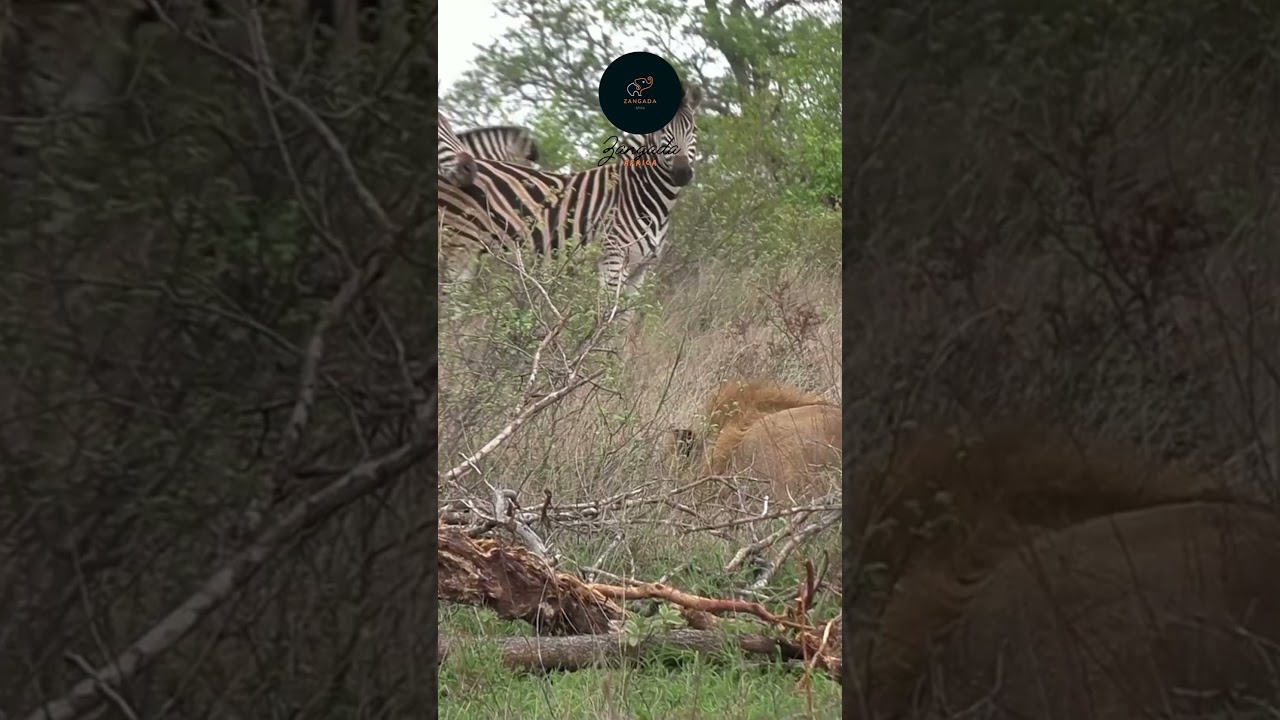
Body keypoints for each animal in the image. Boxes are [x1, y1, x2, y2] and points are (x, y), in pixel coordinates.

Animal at [438, 84, 703, 303]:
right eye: (663, 131)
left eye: (693, 129)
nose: (682, 173)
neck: (642, 195)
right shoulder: (613, 259)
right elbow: (606, 319)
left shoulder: (641, 270)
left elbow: (624, 324)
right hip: (457, 248)